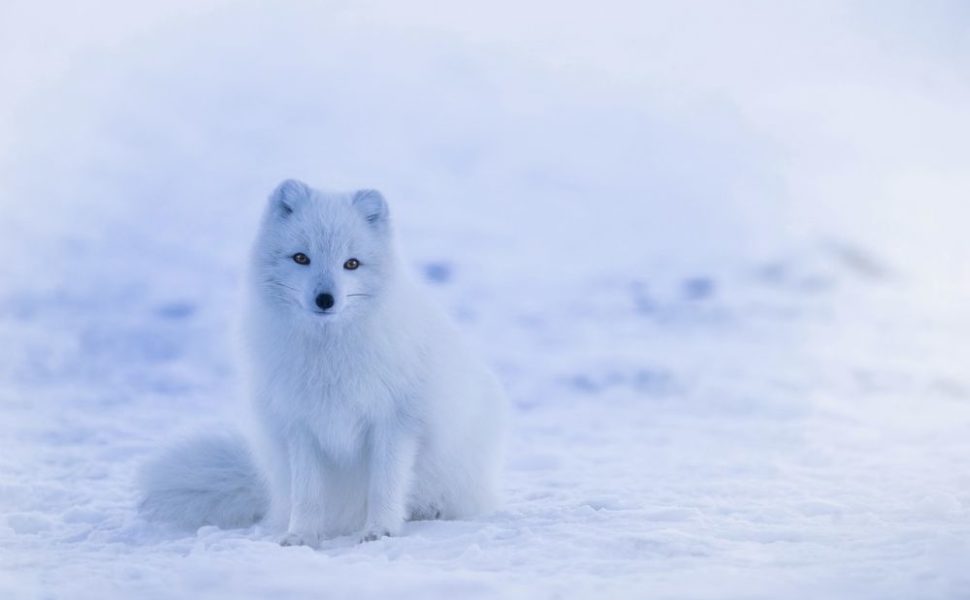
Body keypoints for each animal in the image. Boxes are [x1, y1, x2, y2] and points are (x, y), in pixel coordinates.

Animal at [142, 178, 516, 544]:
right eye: (300, 258)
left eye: (351, 263)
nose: (325, 299)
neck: (328, 355)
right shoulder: (300, 424)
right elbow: (308, 494)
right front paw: (302, 536)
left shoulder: (395, 421)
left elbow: (385, 486)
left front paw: (381, 531)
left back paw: (429, 510)